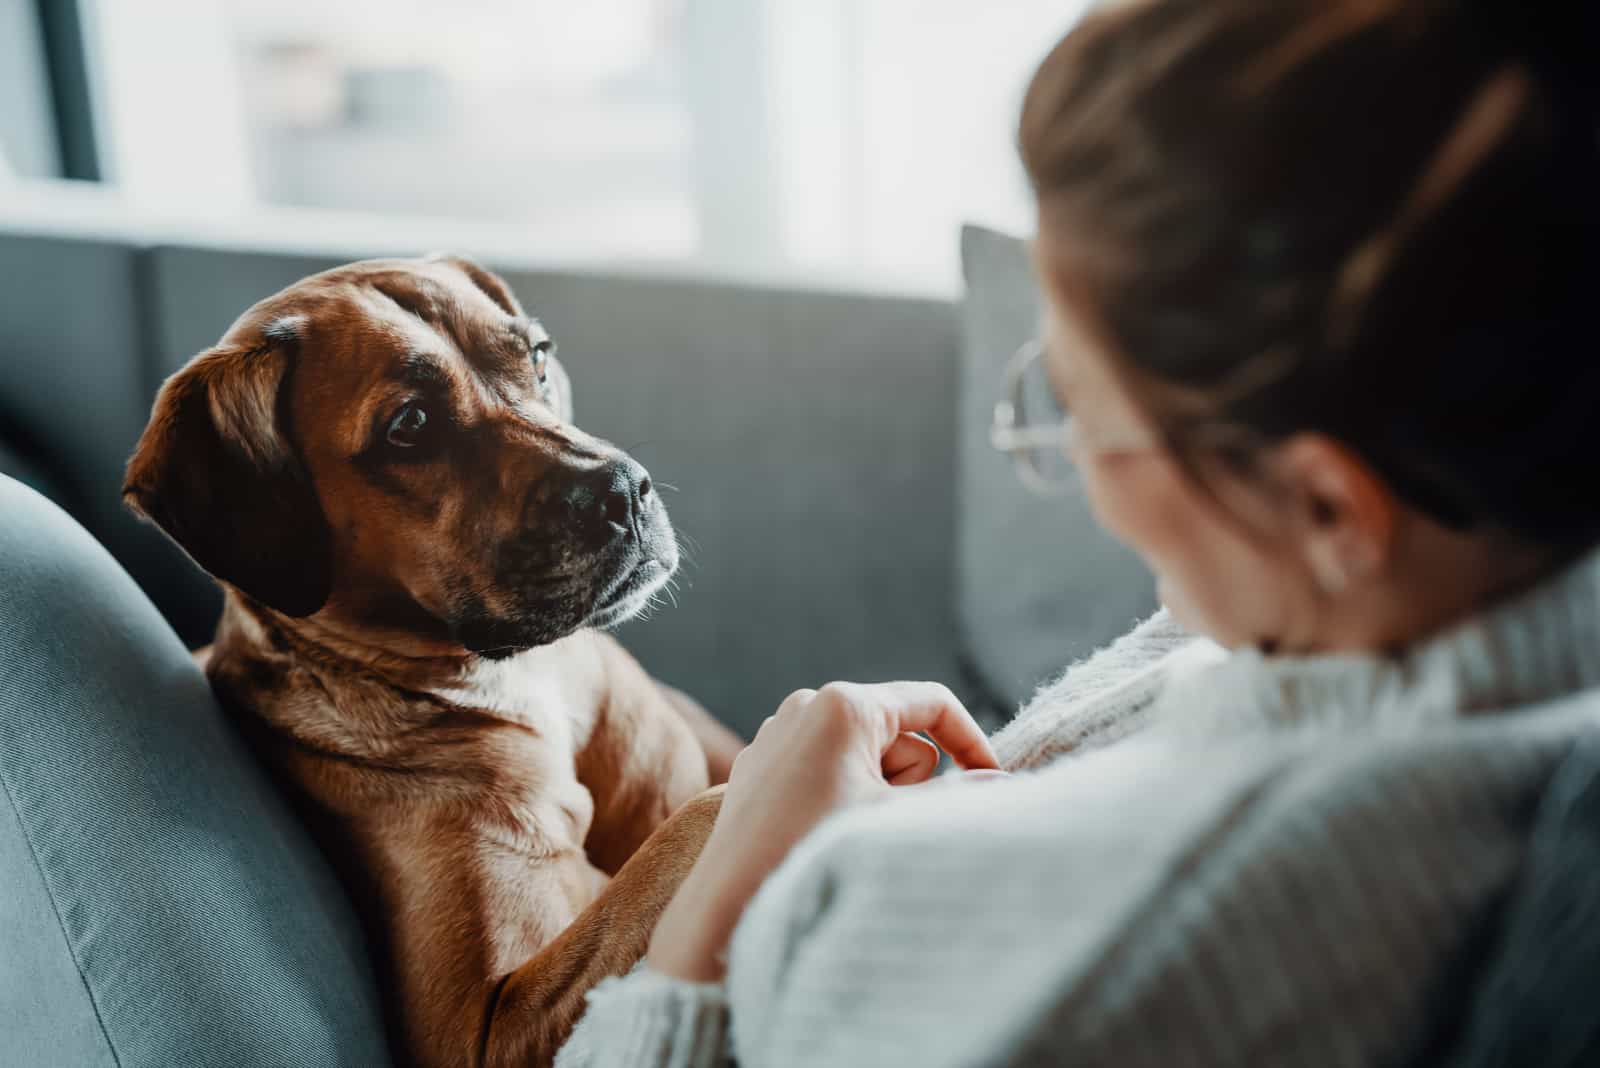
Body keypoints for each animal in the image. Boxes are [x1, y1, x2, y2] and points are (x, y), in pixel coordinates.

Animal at [126, 255, 736, 1068]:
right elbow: (693, 826)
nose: (624, 490)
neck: (518, 682)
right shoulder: (477, 1027)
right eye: (409, 426)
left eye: (538, 357)